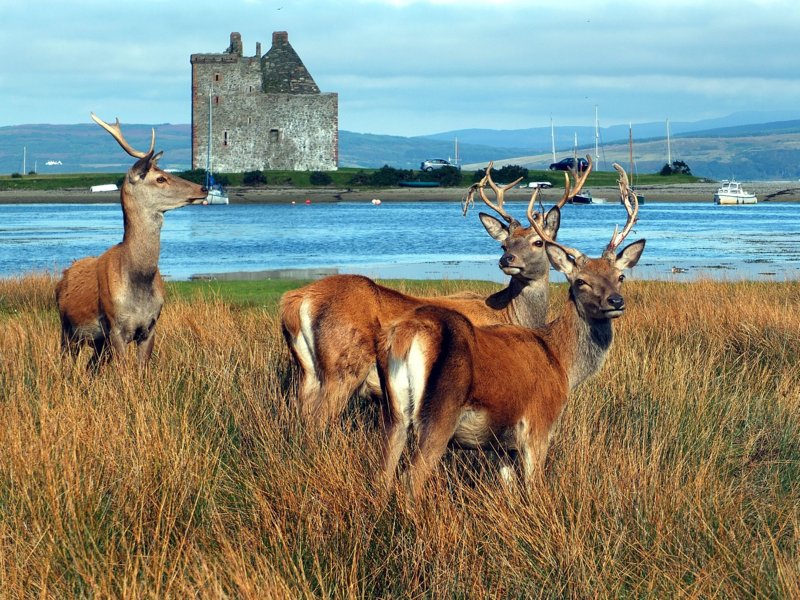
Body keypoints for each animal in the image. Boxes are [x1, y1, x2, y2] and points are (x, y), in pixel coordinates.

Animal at [55, 112, 208, 366]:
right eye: (160, 178)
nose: (203, 187)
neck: (139, 281)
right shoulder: (115, 327)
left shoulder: (150, 327)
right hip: (67, 330)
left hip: (97, 343)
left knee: (90, 367)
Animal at [282, 157, 592, 424]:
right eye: (504, 244)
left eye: (538, 242)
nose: (507, 260)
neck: (511, 314)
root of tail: (296, 301)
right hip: (343, 365)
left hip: (308, 371)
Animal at [378, 162, 648, 500]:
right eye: (580, 281)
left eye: (620, 276)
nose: (616, 301)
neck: (562, 363)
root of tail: (408, 336)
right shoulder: (539, 423)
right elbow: (534, 487)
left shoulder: (502, 445)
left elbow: (508, 488)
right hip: (439, 413)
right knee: (410, 480)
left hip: (395, 412)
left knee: (383, 474)